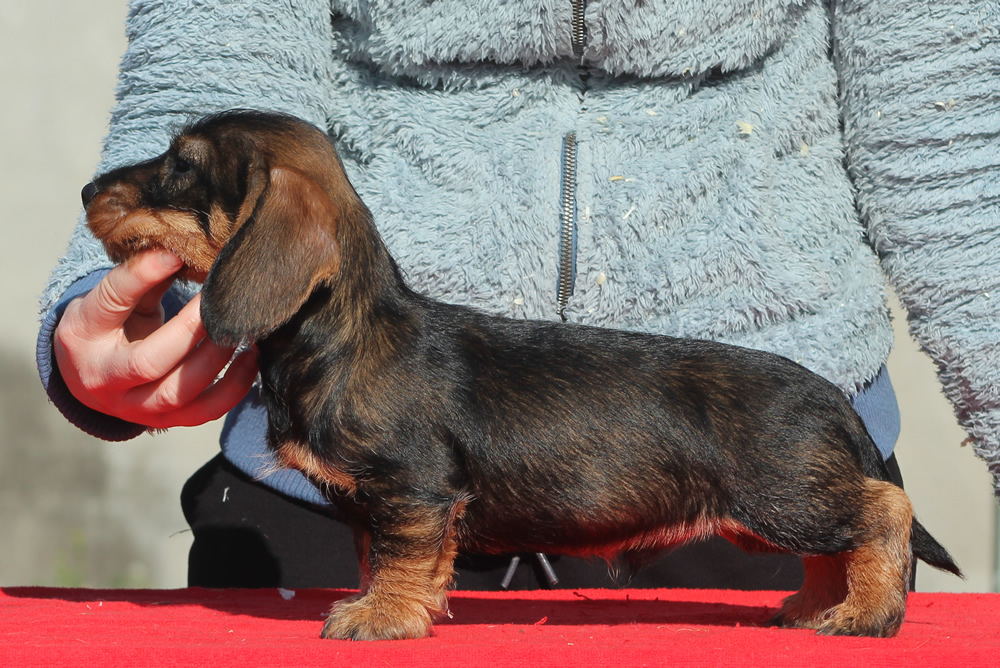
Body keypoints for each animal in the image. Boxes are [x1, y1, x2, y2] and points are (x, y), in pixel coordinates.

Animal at [82, 111, 956, 640]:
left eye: (180, 167)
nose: (89, 189)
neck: (342, 334)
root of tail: (828, 395)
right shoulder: (411, 503)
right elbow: (409, 558)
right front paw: (410, 607)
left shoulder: (412, 488)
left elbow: (398, 556)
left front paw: (380, 617)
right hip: (769, 510)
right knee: (837, 542)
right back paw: (815, 605)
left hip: (782, 495)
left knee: (884, 511)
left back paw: (865, 613)